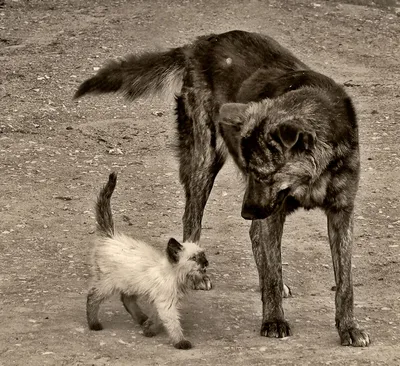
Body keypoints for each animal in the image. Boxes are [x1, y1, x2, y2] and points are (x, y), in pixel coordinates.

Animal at [86, 172, 208, 348]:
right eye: (194, 258)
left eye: (203, 256)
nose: (206, 263)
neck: (174, 276)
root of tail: (109, 235)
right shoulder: (166, 303)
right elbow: (173, 323)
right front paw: (180, 342)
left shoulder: (162, 301)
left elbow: (157, 317)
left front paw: (149, 329)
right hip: (108, 283)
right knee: (92, 297)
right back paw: (94, 324)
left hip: (130, 283)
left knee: (126, 299)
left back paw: (141, 318)